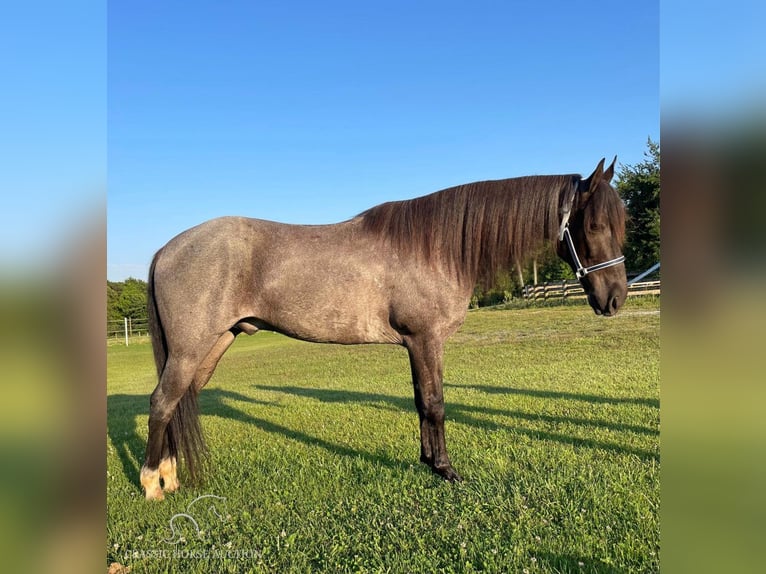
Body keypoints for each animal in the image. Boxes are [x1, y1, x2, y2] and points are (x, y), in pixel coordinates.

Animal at [141, 160, 628, 502]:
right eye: (593, 225)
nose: (616, 299)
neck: (436, 248)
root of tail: (166, 248)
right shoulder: (425, 340)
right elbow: (435, 403)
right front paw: (447, 470)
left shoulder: (416, 345)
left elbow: (419, 401)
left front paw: (428, 462)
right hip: (189, 350)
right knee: (162, 403)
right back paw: (152, 484)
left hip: (213, 346)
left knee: (180, 401)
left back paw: (171, 475)